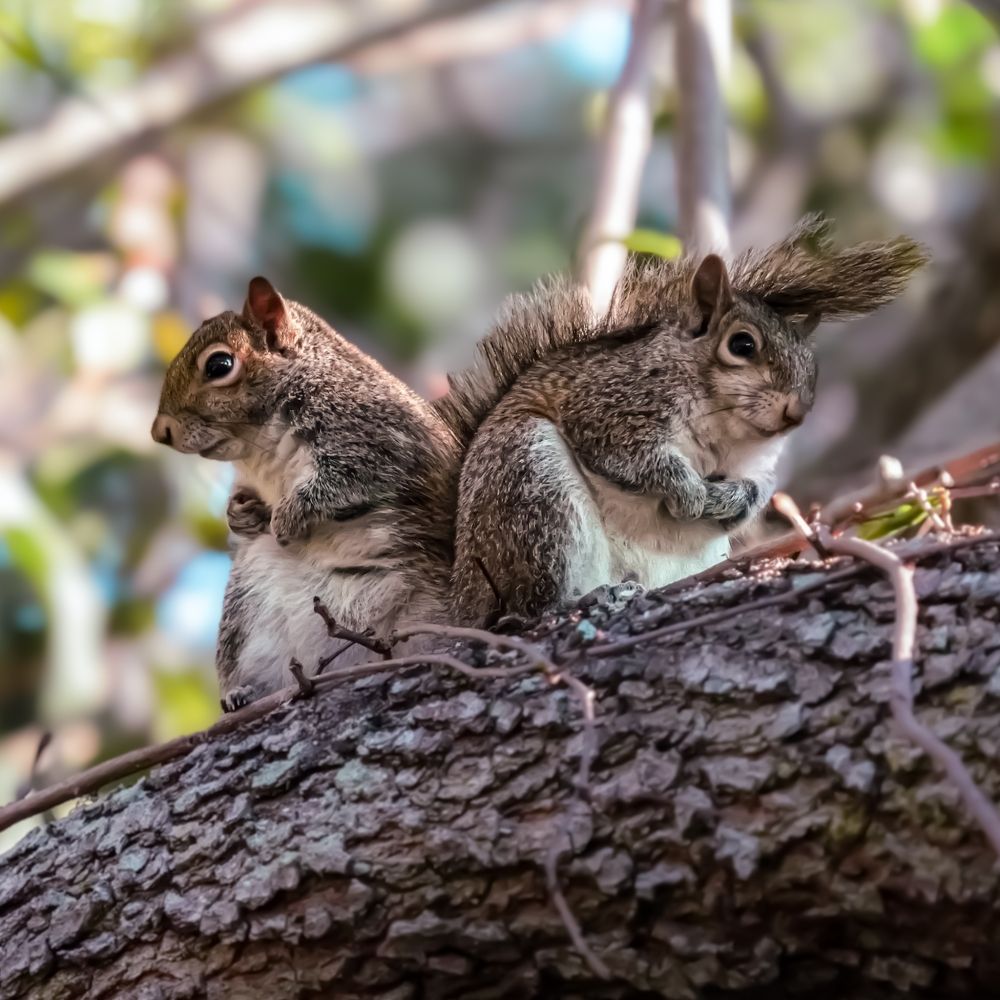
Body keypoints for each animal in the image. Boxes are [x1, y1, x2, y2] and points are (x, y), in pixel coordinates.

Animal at [152, 277, 460, 709]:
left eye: (219, 365)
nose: (159, 431)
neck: (258, 448)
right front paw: (240, 514)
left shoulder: (378, 438)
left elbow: (343, 481)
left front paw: (286, 518)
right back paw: (240, 694)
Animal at [437, 216, 928, 623]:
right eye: (742, 345)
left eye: (814, 365)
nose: (797, 412)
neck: (724, 429)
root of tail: (463, 596)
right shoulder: (606, 404)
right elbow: (632, 455)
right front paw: (689, 492)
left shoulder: (759, 464)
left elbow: (758, 489)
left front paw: (729, 500)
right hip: (532, 490)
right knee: (529, 607)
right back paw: (587, 598)